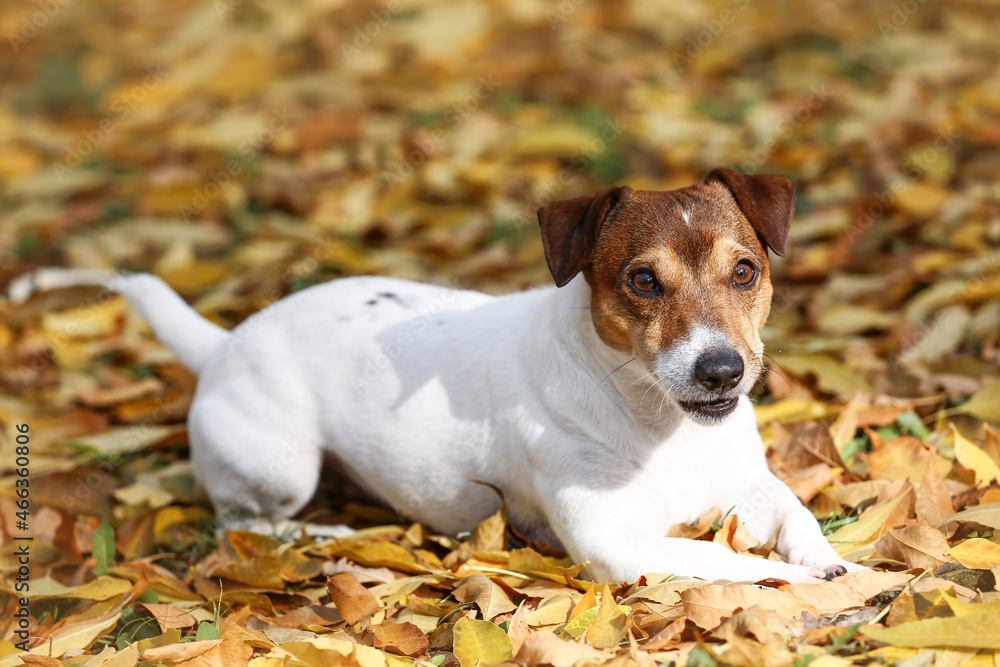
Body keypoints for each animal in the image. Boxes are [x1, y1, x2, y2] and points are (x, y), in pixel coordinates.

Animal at [11, 168, 860, 584]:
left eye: (745, 271)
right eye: (643, 281)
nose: (721, 370)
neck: (662, 422)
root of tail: (223, 342)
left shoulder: (751, 485)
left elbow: (798, 515)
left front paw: (830, 559)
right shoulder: (615, 542)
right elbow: (723, 560)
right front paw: (806, 582)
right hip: (282, 464)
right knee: (241, 520)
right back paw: (324, 528)